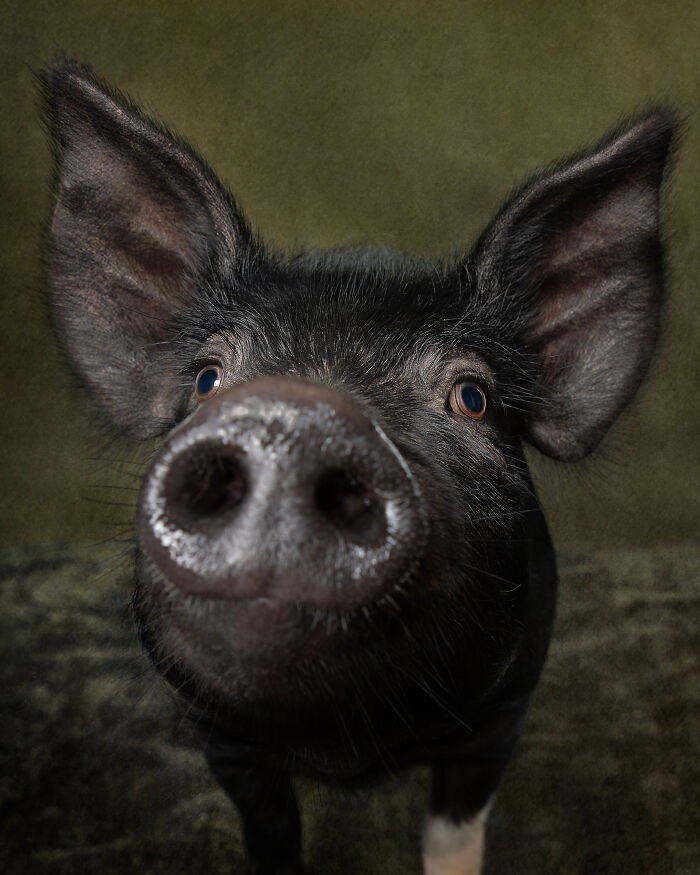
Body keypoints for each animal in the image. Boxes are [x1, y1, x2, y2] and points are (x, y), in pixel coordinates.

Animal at [41, 58, 676, 875]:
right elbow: (271, 830)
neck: (344, 743)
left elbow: (454, 833)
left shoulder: (502, 715)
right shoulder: (222, 737)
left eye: (472, 397)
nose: (289, 418)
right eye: (208, 378)